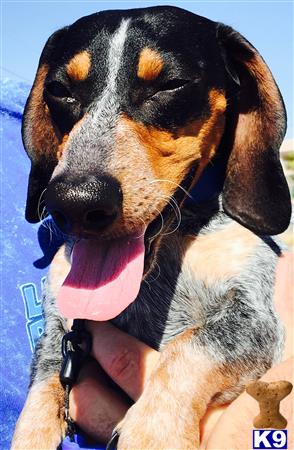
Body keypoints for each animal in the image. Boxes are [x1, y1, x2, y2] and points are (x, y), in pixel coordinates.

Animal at [10, 4, 290, 450]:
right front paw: (31, 433)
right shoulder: (60, 326)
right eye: (59, 89)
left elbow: (192, 346)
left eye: (171, 84)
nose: (75, 202)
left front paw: (154, 431)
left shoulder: (258, 319)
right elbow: (41, 388)